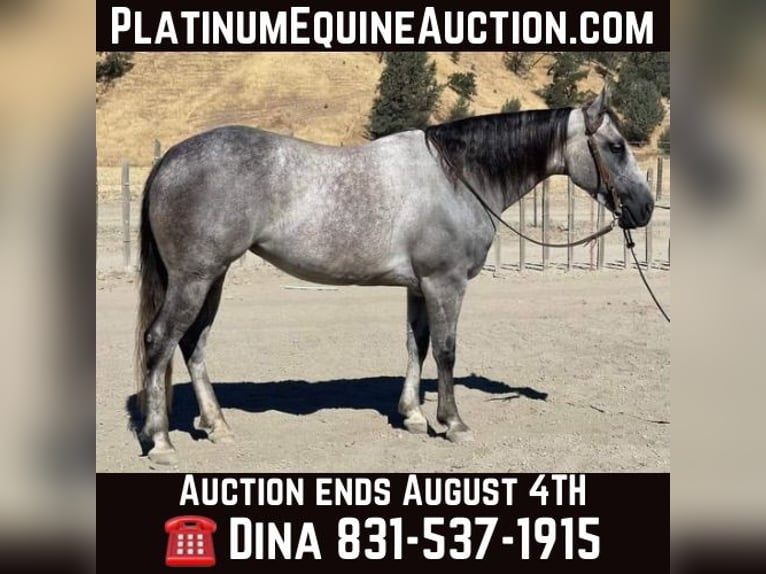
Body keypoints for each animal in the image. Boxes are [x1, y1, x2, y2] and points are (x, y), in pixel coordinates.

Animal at [135, 86, 654, 466]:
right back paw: (160, 441)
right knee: (160, 341)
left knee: (193, 344)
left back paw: (217, 425)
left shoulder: (420, 287)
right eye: (615, 146)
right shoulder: (446, 284)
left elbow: (415, 346)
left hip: (213, 278)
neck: (457, 177)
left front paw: (413, 416)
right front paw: (453, 423)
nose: (645, 208)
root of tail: (170, 160)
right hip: (194, 278)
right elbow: (445, 351)